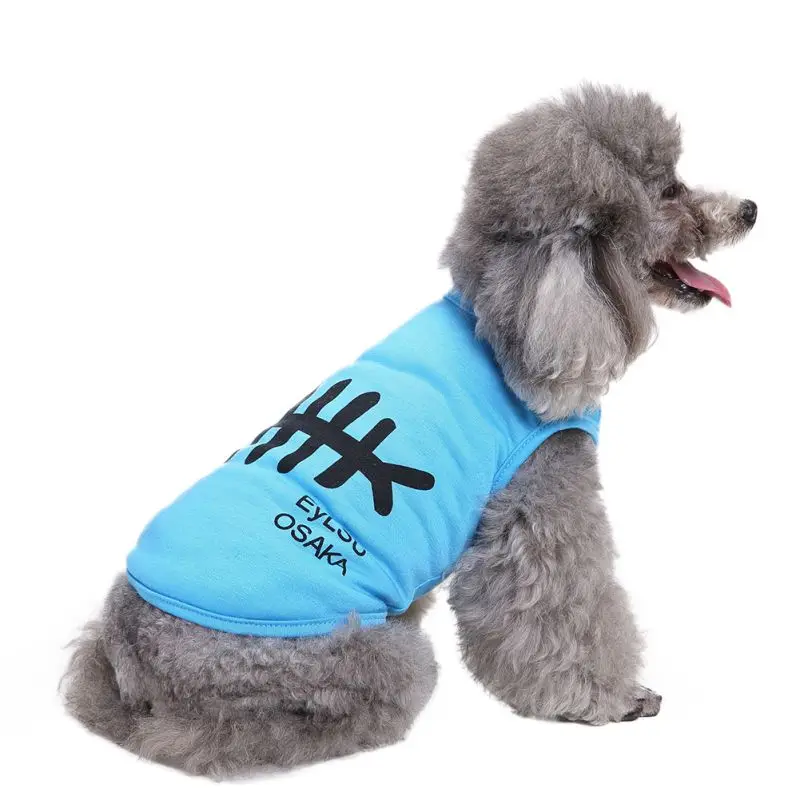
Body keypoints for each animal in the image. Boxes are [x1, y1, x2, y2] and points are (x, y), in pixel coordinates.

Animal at [61, 85, 757, 776]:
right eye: (669, 191)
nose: (749, 209)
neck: (505, 321)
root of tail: (126, 659)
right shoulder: (540, 505)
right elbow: (564, 608)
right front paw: (608, 698)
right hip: (376, 660)